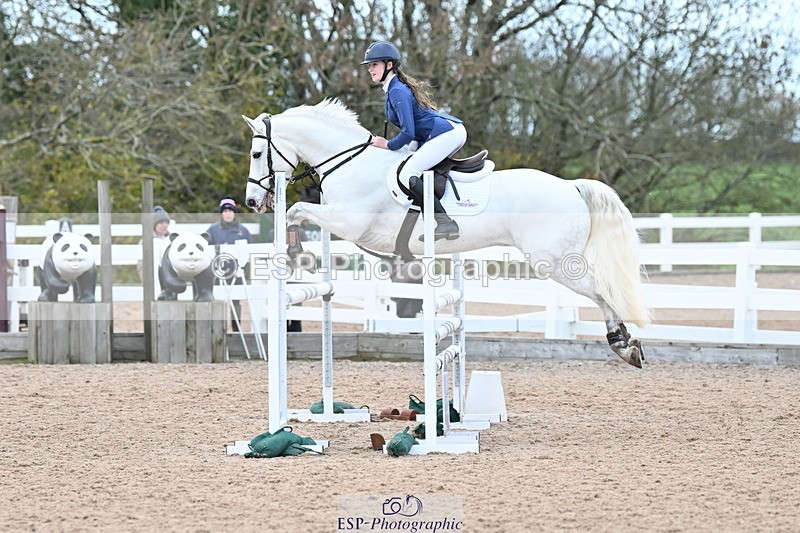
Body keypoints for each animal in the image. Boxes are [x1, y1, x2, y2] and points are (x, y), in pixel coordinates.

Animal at [242, 98, 651, 367]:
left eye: (258, 155)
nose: (251, 202)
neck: (349, 161)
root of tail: (571, 186)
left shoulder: (350, 223)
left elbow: (296, 210)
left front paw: (291, 250)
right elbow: (298, 213)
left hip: (555, 261)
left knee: (601, 291)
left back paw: (623, 344)